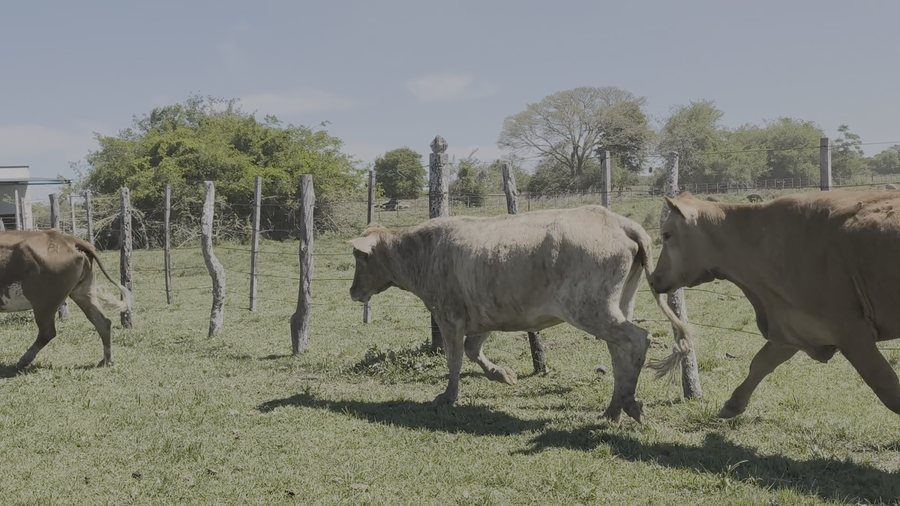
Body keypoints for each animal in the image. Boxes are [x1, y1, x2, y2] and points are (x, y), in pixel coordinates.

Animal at [1, 230, 133, 369]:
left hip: (45, 302)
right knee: (103, 323)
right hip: (83, 292)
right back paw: (107, 360)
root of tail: (67, 239)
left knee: (47, 332)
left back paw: (23, 360)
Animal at [348, 205, 694, 423]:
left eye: (359, 257)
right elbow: (473, 350)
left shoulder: (449, 315)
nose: (353, 292)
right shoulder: (486, 311)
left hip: (589, 307)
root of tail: (621, 223)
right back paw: (613, 409)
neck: (423, 253)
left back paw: (630, 405)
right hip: (619, 303)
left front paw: (448, 395)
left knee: (637, 340)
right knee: (619, 352)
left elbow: (455, 359)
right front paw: (502, 374)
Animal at [649, 191, 900, 418]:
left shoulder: (851, 332)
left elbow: (886, 385)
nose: (652, 278)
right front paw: (733, 404)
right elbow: (761, 362)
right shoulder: (793, 326)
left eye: (667, 234)